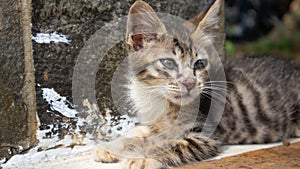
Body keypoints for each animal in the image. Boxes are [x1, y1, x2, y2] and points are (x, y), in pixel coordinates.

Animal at [94, 0, 300, 169]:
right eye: (168, 63)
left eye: (199, 64)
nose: (190, 83)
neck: (159, 98)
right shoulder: (155, 123)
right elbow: (142, 132)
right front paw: (113, 146)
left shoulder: (204, 136)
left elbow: (171, 144)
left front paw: (143, 158)